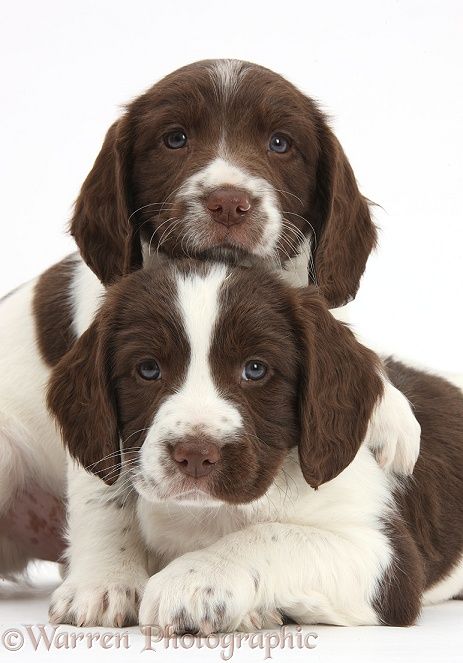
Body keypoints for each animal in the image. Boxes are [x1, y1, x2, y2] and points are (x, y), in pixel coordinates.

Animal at [0, 61, 418, 600]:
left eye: (280, 144)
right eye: (175, 139)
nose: (229, 203)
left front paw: (394, 412)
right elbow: (106, 495)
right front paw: (106, 583)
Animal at [45, 260, 463, 632]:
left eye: (256, 369)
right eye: (148, 369)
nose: (195, 455)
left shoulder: (387, 556)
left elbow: (274, 535)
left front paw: (194, 579)